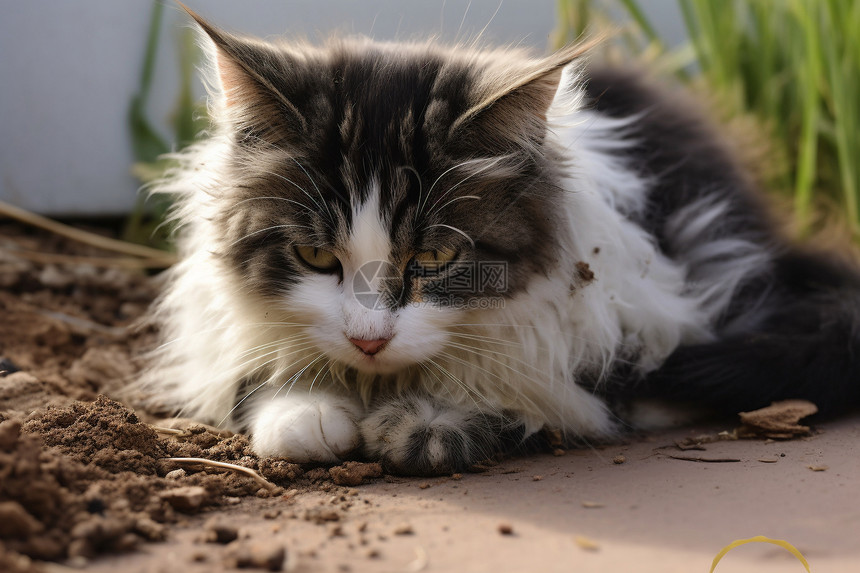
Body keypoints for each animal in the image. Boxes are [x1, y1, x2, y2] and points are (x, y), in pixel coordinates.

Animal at [144, 6, 860, 476]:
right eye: (316, 256)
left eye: (434, 258)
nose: (369, 341)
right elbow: (263, 376)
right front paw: (306, 412)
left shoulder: (633, 316)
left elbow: (543, 394)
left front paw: (432, 421)